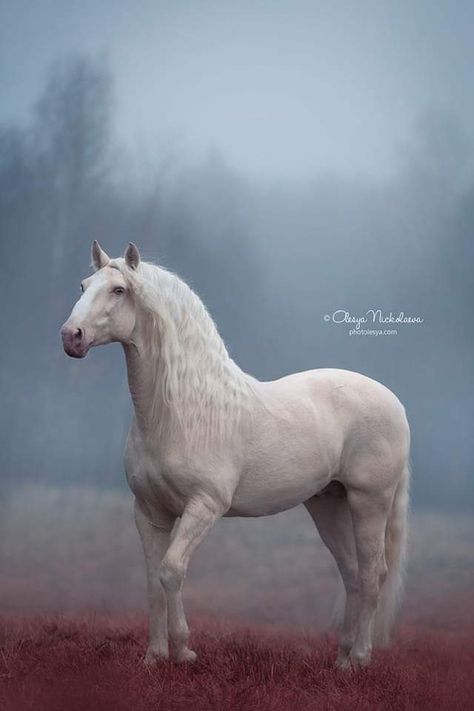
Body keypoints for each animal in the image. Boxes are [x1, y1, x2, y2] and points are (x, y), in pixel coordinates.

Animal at [62, 242, 412, 672]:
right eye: (83, 285)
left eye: (118, 290)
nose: (71, 337)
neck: (180, 413)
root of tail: (393, 402)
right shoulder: (148, 512)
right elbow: (152, 581)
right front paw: (155, 656)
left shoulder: (204, 506)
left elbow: (171, 571)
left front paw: (184, 651)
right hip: (327, 503)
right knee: (351, 573)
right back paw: (342, 659)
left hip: (369, 502)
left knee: (372, 573)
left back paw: (360, 659)